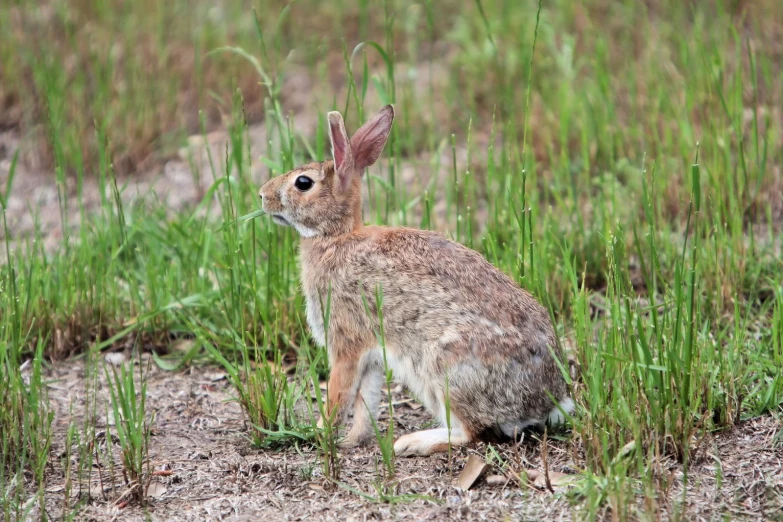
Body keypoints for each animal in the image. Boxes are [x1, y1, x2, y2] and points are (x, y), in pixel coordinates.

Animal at [260, 103, 572, 452]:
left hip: (445, 367)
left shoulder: (346, 342)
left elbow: (339, 395)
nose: (262, 195)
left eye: (303, 183)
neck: (337, 237)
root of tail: (547, 400)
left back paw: (412, 443)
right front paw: (354, 440)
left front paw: (320, 432)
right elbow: (365, 402)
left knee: (470, 433)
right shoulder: (372, 355)